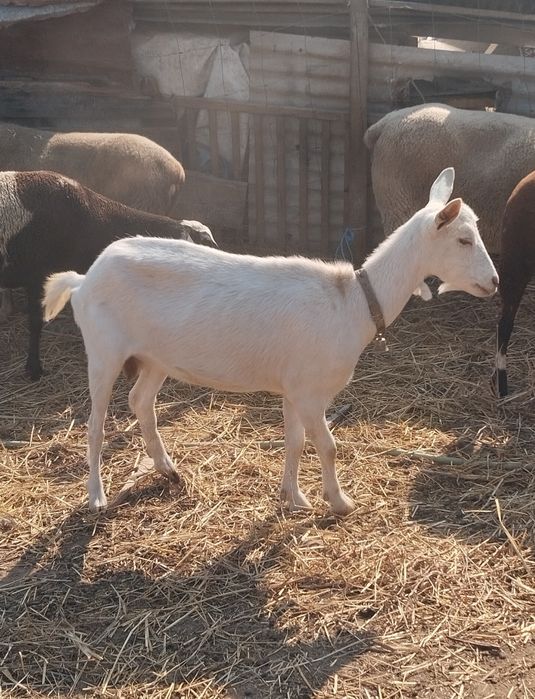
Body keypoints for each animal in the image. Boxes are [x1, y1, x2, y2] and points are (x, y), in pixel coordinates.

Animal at [43, 168, 498, 515]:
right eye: (463, 240)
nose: (494, 281)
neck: (353, 302)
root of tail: (83, 280)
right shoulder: (311, 391)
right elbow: (328, 446)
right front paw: (340, 503)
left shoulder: (294, 388)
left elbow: (295, 442)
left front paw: (293, 498)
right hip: (104, 350)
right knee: (95, 424)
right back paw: (97, 497)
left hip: (155, 357)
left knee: (141, 402)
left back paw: (169, 471)